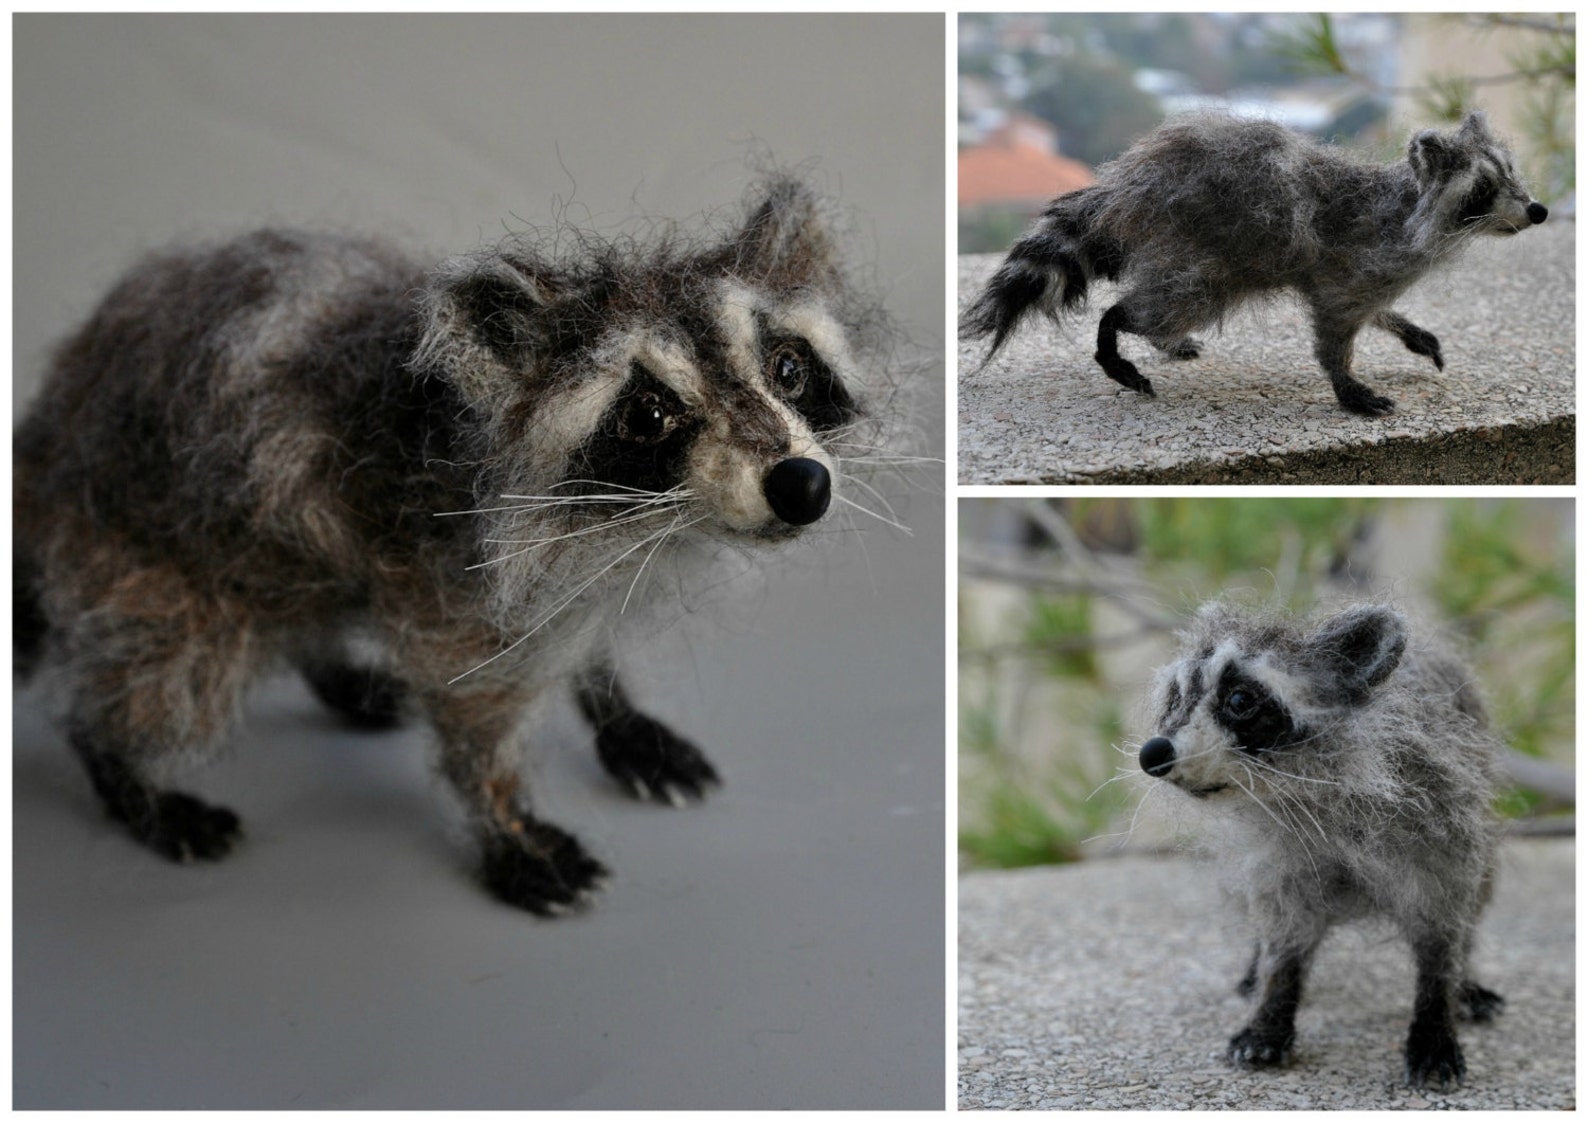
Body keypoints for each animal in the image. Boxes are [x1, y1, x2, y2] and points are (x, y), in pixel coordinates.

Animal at [13, 175, 898, 917]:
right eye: (647, 414)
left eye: (787, 368)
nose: (800, 483)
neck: (633, 523)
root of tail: (51, 420)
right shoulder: (443, 563)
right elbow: (474, 705)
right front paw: (504, 817)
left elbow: (581, 635)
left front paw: (612, 699)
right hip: (147, 540)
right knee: (173, 664)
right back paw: (124, 768)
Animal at [962, 111, 1547, 415]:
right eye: (1483, 189)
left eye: (1512, 174)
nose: (1538, 211)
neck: (1407, 207)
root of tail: (1125, 186)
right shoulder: (1356, 260)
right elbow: (1334, 326)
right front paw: (1343, 380)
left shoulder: (1366, 273)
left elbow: (1371, 309)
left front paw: (1403, 326)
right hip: (1200, 248)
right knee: (1166, 304)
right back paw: (1116, 335)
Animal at [1137, 603, 1504, 1088]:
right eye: (1175, 698)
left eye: (1240, 701)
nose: (1152, 753)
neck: (1307, 792)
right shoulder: (1279, 856)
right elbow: (1285, 936)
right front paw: (1271, 1005)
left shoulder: (1439, 824)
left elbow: (1440, 932)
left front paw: (1437, 1008)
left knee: (1476, 900)